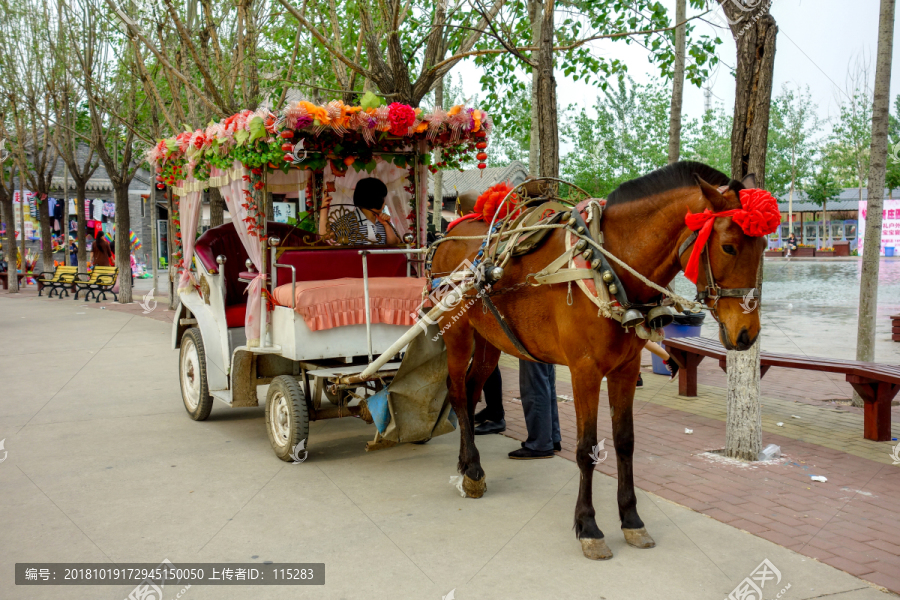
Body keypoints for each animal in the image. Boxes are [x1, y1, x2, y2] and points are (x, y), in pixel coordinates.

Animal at [432, 162, 764, 560]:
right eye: (729, 246)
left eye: (764, 245)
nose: (747, 333)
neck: (609, 267)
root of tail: (451, 231)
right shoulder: (585, 371)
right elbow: (586, 448)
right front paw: (588, 526)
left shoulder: (626, 369)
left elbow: (624, 442)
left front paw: (632, 520)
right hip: (457, 333)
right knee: (456, 392)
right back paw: (472, 471)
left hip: (489, 339)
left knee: (469, 391)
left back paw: (470, 464)